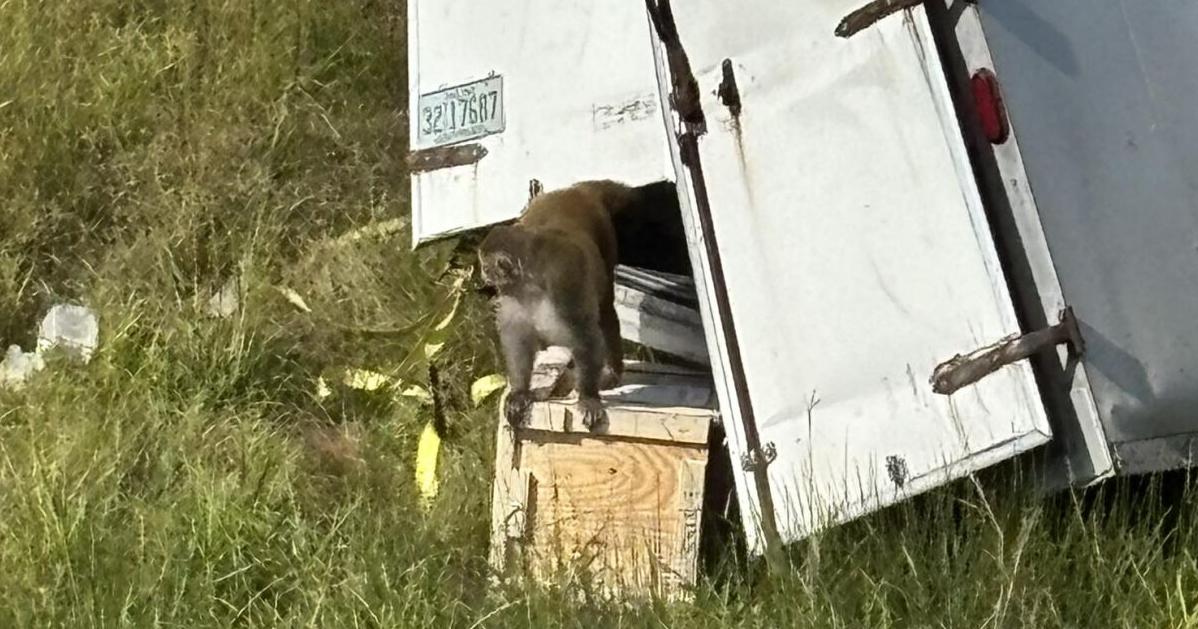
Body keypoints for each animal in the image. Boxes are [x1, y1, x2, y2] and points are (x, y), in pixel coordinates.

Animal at [478, 180, 642, 430]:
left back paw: (612, 372)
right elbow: (518, 337)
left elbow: (585, 334)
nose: (482, 275)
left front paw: (588, 397)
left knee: (605, 310)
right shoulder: (513, 295)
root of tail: (575, 190)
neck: (531, 282)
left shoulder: (563, 281)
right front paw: (520, 392)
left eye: (486, 267)